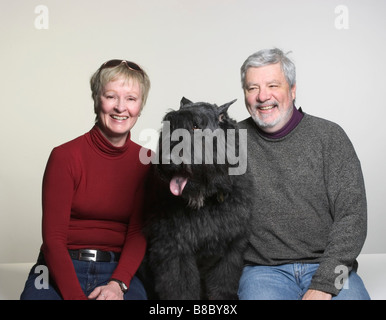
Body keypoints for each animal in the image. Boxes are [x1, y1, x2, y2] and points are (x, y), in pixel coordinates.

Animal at [143, 98, 252, 300]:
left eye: (195, 126)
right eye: (169, 125)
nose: (167, 160)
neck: (208, 200)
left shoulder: (232, 246)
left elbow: (223, 282)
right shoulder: (174, 248)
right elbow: (181, 287)